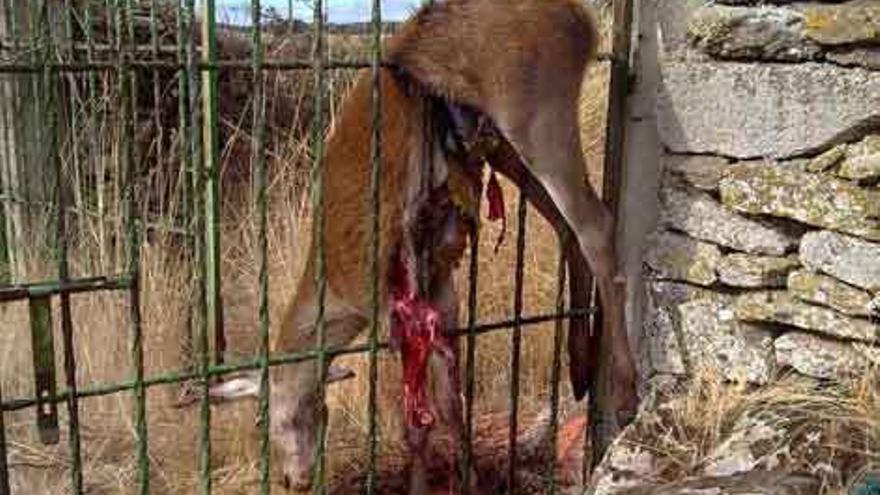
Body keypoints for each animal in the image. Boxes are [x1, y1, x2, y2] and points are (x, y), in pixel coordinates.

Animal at [191, 0, 632, 494]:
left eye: (264, 420)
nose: (294, 479)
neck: (335, 293)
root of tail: (582, 22)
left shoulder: (385, 299)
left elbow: (416, 416)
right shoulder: (436, 283)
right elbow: (448, 405)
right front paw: (464, 479)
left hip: (534, 111)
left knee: (596, 225)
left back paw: (625, 389)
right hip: (503, 147)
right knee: (566, 227)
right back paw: (580, 362)